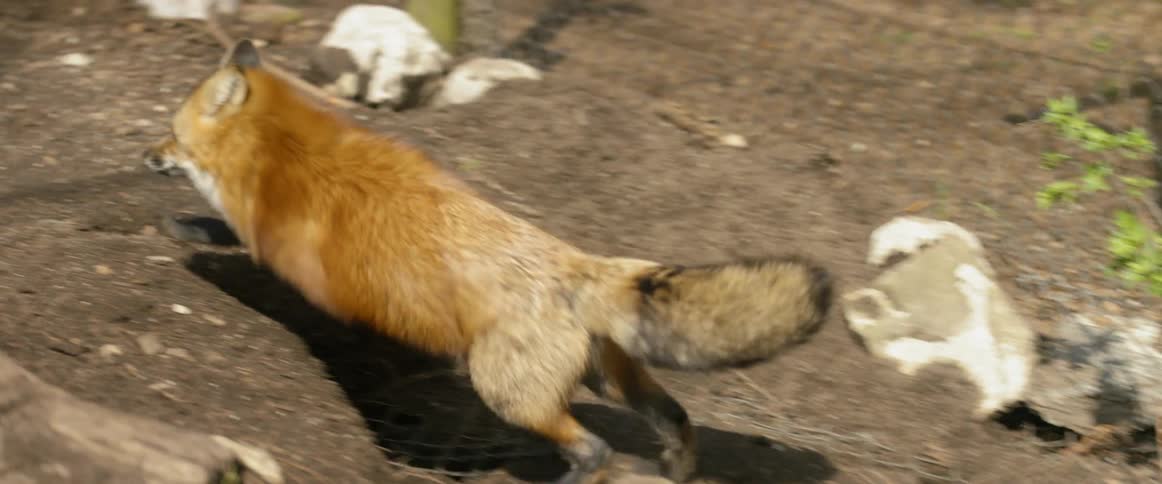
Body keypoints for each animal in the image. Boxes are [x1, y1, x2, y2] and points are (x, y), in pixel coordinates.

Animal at [142, 39, 835, 484]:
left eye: (172, 134)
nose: (147, 155)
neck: (284, 152)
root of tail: (576, 265)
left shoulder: (282, 250)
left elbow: (227, 235)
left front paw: (182, 227)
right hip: (610, 381)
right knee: (675, 417)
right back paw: (676, 469)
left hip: (508, 395)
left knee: (595, 450)